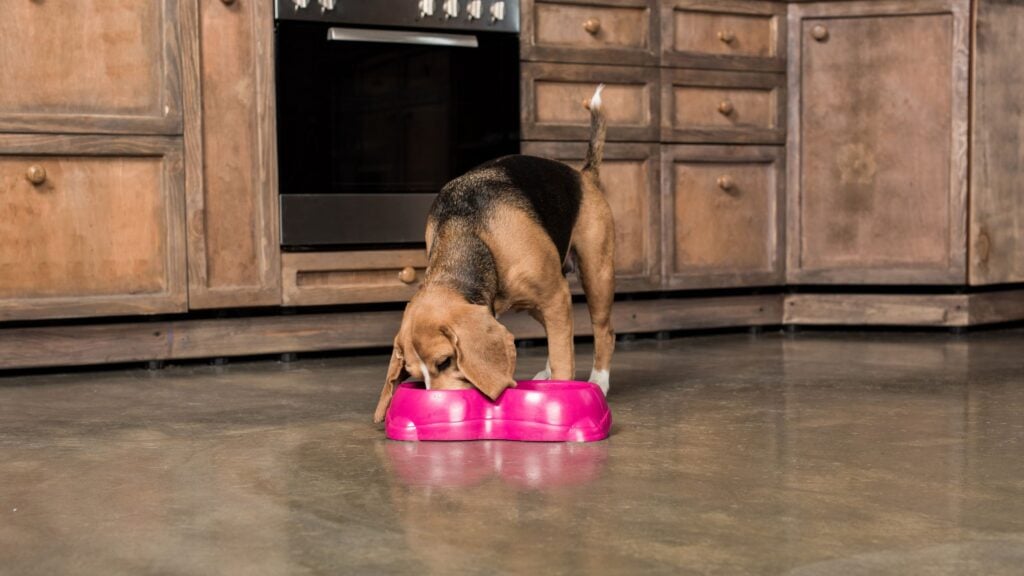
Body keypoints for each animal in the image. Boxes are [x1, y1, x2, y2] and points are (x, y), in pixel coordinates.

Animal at [376, 84, 614, 422]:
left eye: (445, 361)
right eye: (414, 374)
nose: (436, 404)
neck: (472, 235)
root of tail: (583, 174)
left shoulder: (555, 295)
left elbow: (564, 357)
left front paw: (562, 391)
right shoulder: (548, 302)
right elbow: (558, 343)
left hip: (596, 276)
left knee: (603, 332)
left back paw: (599, 380)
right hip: (536, 304)